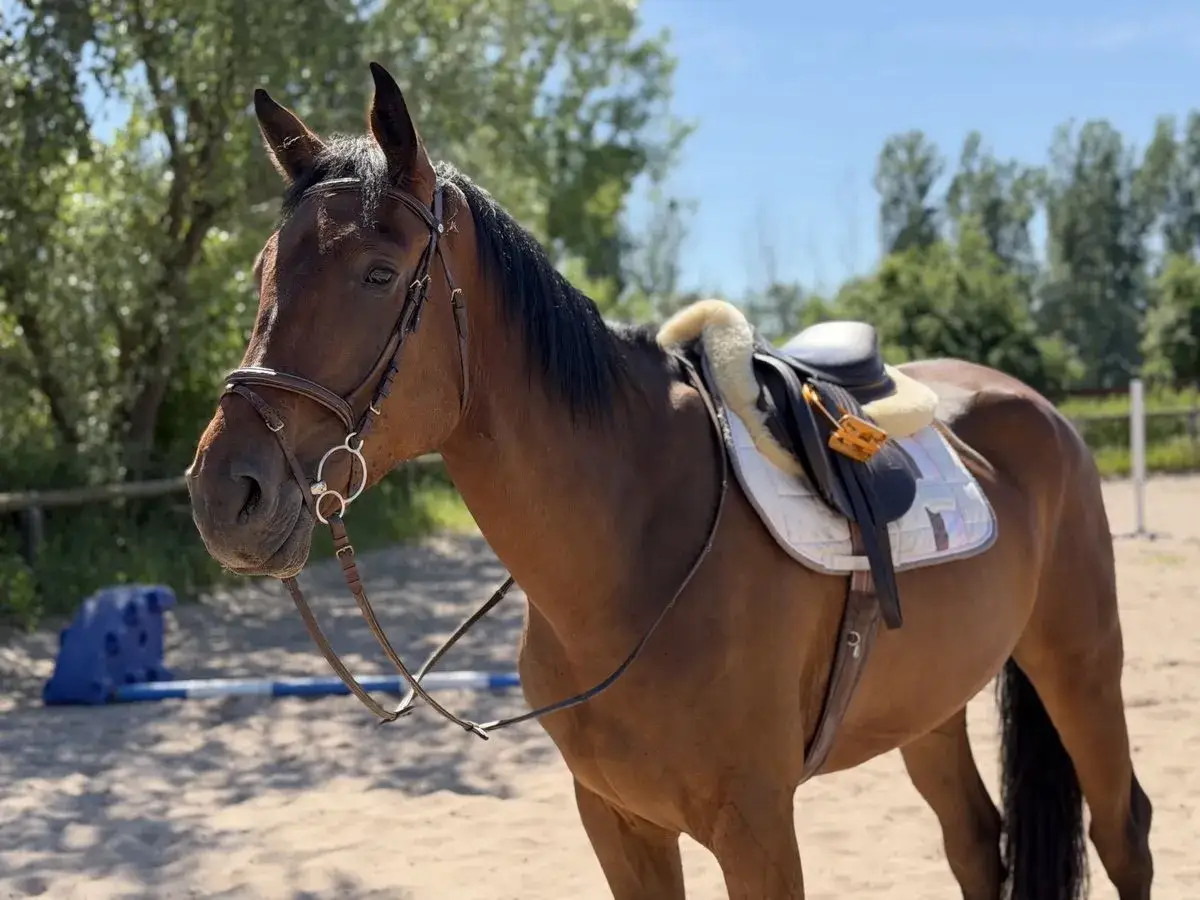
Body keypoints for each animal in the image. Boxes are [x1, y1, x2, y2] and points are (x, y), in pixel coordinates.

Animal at [185, 62, 1153, 900]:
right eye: (262, 272)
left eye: (379, 273)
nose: (225, 494)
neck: (634, 555)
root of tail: (1037, 408)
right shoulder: (618, 822)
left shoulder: (756, 828)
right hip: (932, 707)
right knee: (975, 843)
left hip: (1081, 665)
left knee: (1122, 832)